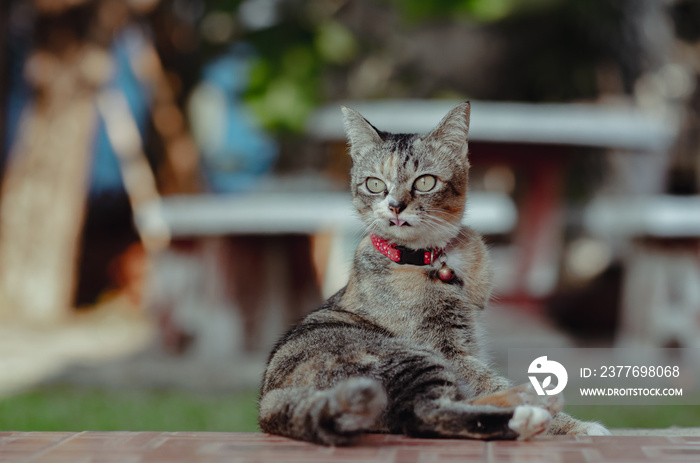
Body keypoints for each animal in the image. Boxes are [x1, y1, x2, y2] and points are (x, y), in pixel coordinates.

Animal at [258, 102, 608, 446]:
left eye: (425, 181)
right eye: (375, 184)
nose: (395, 205)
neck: (429, 260)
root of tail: (267, 406)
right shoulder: (445, 350)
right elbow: (486, 381)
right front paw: (576, 426)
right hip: (405, 357)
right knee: (422, 414)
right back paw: (530, 413)